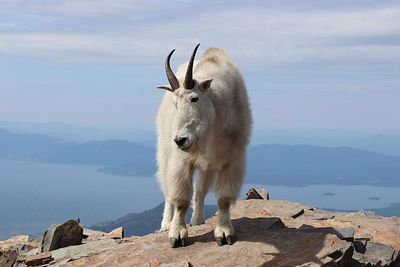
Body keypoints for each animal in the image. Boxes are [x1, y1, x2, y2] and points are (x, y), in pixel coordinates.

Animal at [155, 43, 252, 248]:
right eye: (175, 103)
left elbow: (223, 199)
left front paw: (223, 233)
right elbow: (181, 200)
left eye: (194, 98)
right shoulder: (181, 161)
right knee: (168, 190)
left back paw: (197, 221)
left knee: (200, 190)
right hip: (165, 152)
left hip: (208, 165)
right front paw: (177, 235)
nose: (180, 140)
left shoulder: (232, 160)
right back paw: (166, 224)